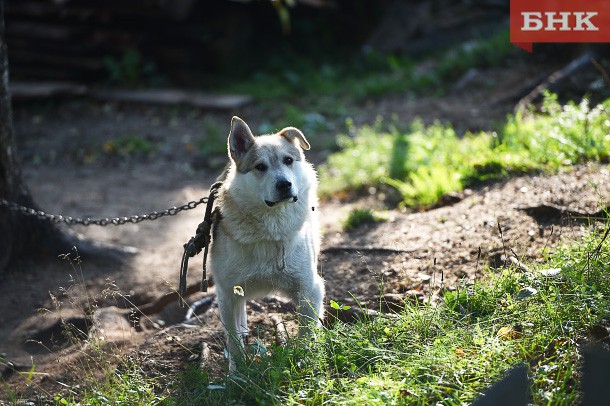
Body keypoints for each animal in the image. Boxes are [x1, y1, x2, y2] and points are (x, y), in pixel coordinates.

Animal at [209, 116, 324, 370]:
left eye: (288, 160)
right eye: (260, 167)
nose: (284, 185)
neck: (270, 229)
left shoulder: (310, 288)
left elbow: (306, 331)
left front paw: (305, 360)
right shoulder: (226, 292)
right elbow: (233, 339)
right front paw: (237, 373)